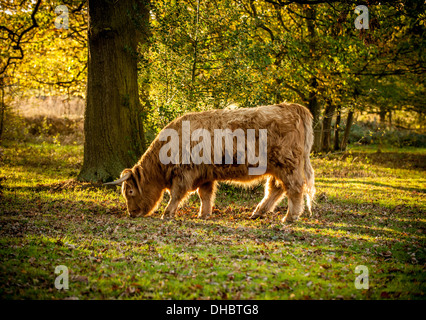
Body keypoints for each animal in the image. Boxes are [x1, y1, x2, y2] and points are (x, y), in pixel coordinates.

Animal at [105, 102, 314, 222]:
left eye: (130, 191)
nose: (131, 213)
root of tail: (293, 107)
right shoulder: (204, 175)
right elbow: (205, 195)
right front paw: (204, 214)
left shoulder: (184, 173)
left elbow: (177, 194)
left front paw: (167, 213)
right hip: (276, 167)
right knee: (276, 189)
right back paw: (258, 212)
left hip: (287, 164)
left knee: (294, 188)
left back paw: (290, 217)